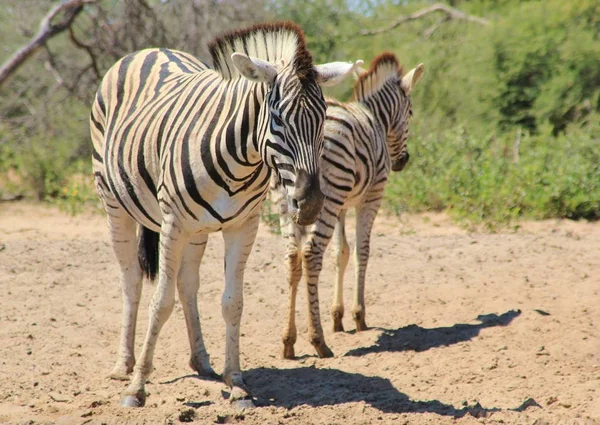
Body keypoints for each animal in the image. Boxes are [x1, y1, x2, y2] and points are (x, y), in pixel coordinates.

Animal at [89, 21, 360, 406]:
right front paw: (137, 388)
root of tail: (150, 50)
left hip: (197, 230)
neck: (239, 161)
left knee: (187, 284)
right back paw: (124, 365)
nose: (309, 205)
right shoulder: (172, 223)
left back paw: (201, 361)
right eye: (277, 118)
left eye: (323, 118)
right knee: (132, 281)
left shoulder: (244, 226)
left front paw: (237, 383)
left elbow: (233, 303)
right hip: (115, 204)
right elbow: (161, 302)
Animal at [272, 52, 422, 358]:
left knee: (293, 257)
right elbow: (362, 252)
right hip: (326, 199)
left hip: (289, 202)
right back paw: (317, 340)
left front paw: (337, 316)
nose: (403, 161)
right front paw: (358, 315)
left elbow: (340, 253)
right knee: (311, 255)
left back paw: (289, 341)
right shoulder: (371, 197)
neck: (375, 118)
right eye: (411, 113)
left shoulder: (342, 205)